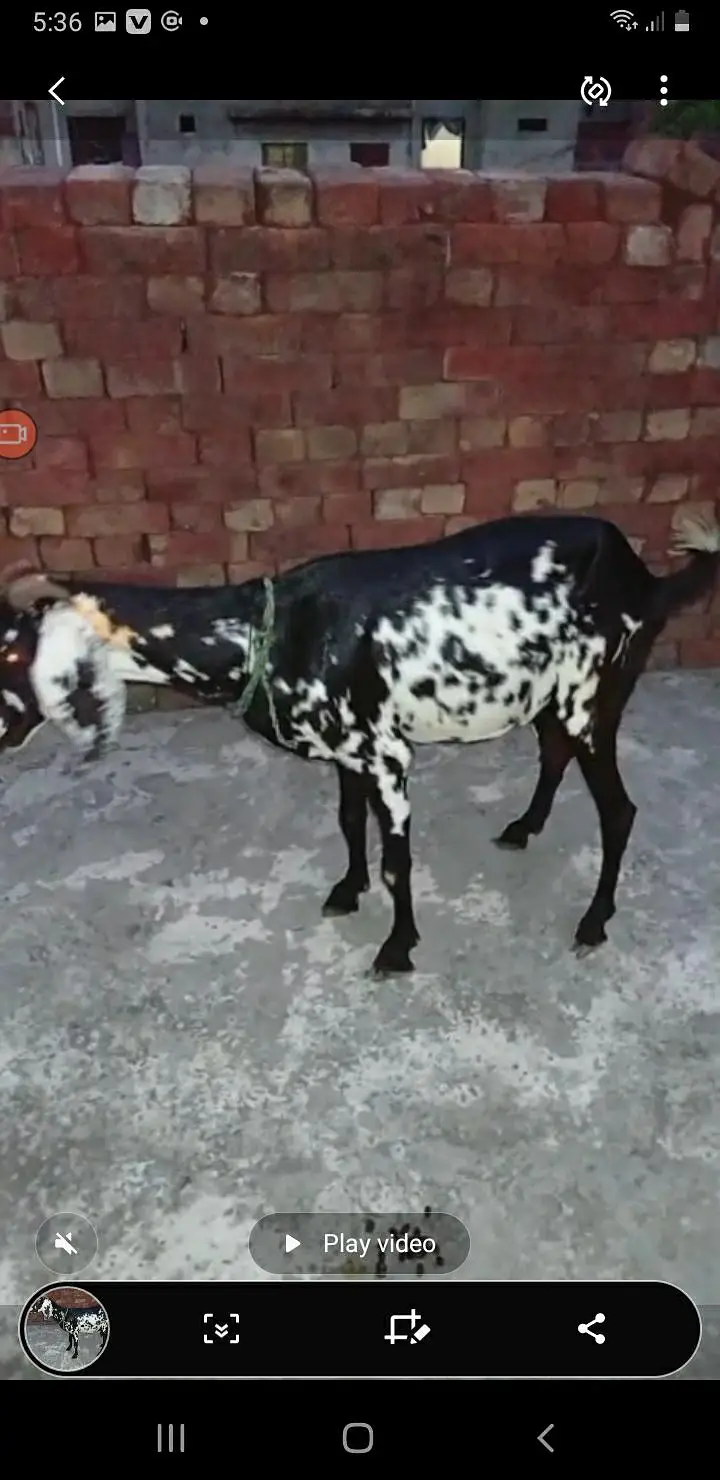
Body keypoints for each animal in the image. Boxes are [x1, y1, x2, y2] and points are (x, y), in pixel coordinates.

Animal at [0, 510, 718, 975]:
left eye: (12, 650)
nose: (3, 732)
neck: (262, 632)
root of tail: (646, 578)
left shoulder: (388, 758)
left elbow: (399, 859)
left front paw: (397, 949)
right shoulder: (350, 752)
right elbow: (348, 822)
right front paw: (348, 890)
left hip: (591, 699)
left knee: (618, 810)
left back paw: (593, 922)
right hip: (550, 698)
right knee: (553, 754)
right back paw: (524, 827)